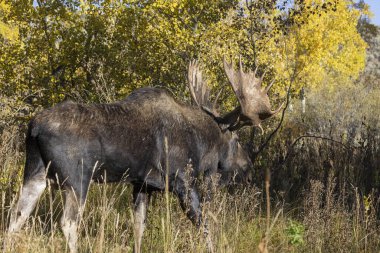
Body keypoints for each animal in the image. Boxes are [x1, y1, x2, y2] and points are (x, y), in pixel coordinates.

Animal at [8, 58, 282, 252]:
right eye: (237, 140)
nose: (248, 170)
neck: (202, 144)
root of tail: (33, 127)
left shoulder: (142, 185)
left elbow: (139, 229)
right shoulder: (183, 181)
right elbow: (203, 227)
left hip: (35, 173)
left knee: (16, 216)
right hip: (77, 179)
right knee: (67, 223)